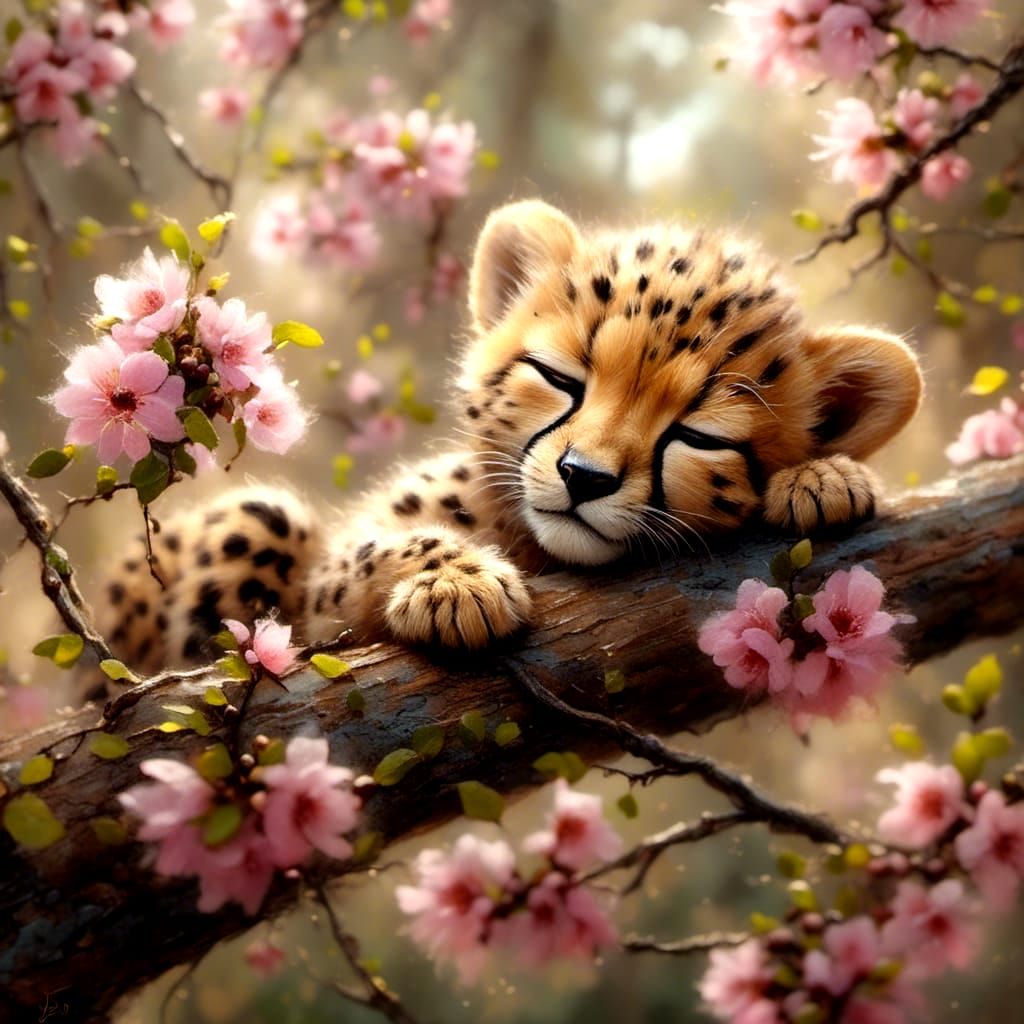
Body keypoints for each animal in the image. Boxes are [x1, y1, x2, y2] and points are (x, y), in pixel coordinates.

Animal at [91, 199, 923, 673]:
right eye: (560, 377)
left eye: (699, 434)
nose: (585, 476)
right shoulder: (329, 586)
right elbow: (371, 549)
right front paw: (456, 582)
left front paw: (823, 478)